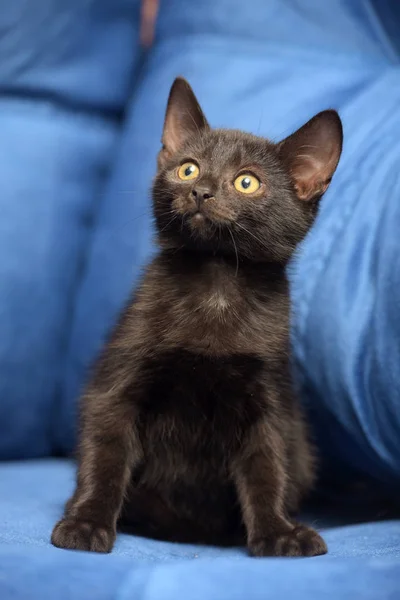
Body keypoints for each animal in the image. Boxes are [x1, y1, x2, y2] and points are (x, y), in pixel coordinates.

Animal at [51, 77, 342, 556]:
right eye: (187, 169)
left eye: (247, 182)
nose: (201, 191)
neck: (216, 284)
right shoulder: (117, 387)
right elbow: (106, 455)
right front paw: (87, 521)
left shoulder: (269, 401)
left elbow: (267, 467)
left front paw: (278, 532)